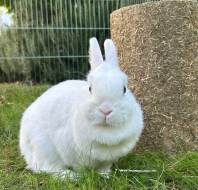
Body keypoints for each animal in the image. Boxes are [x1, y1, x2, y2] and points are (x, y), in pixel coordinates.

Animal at [19, 37, 144, 175]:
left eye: (124, 89)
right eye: (90, 88)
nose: (106, 110)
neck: (106, 131)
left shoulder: (106, 161)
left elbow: (104, 169)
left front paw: (105, 175)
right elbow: (80, 168)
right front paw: (83, 175)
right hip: (43, 148)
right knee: (48, 168)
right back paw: (70, 176)